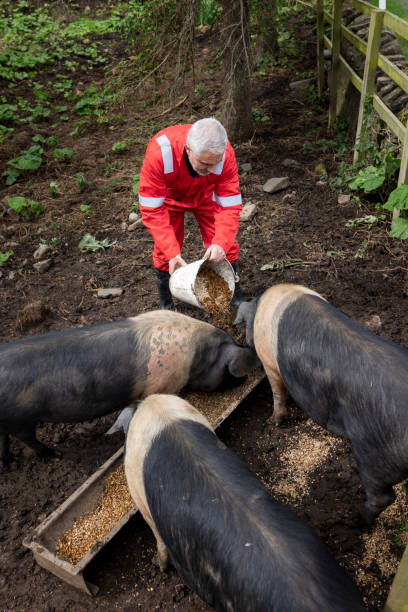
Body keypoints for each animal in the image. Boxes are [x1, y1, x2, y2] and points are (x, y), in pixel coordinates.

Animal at [0, 310, 258, 464]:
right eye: (228, 372)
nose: (244, 380)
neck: (198, 357)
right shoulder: (161, 383)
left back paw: (9, 462)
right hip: (20, 419)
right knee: (28, 439)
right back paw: (54, 455)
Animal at [234, 284, 408, 524]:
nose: (242, 341)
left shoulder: (270, 363)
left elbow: (278, 393)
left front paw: (271, 422)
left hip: (373, 452)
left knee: (381, 497)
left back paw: (350, 520)